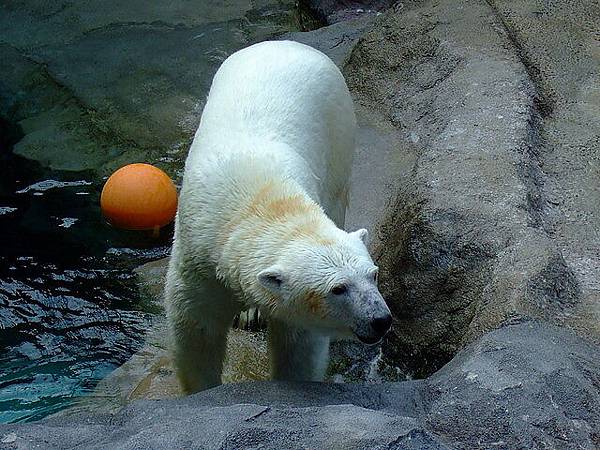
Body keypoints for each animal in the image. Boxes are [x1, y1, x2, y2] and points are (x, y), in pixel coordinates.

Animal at [164, 42, 394, 394]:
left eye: (374, 275)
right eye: (338, 289)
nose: (380, 320)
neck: (259, 199)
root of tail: (290, 44)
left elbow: (298, 344)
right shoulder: (197, 254)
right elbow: (196, 329)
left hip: (338, 132)